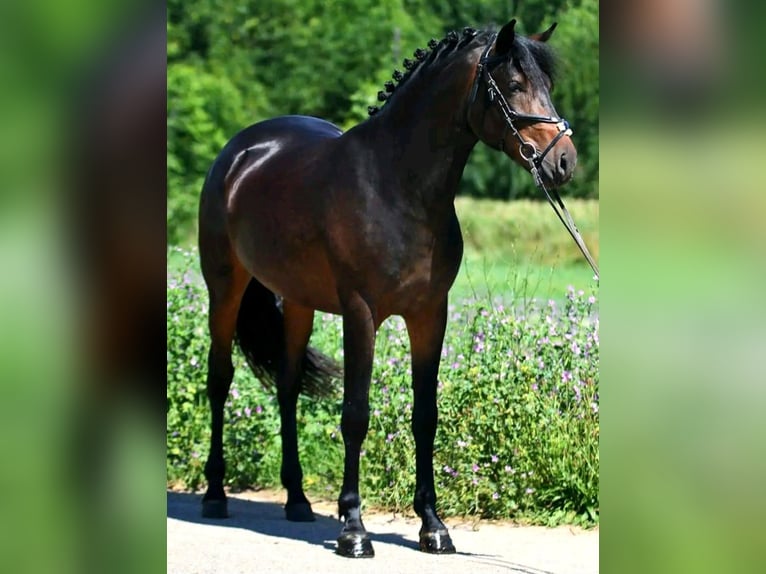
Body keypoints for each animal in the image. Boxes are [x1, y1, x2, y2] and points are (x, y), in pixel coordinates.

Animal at [197, 19, 576, 558]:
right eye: (515, 84)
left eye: (548, 85)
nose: (564, 161)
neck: (397, 188)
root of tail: (240, 152)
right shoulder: (361, 313)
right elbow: (355, 414)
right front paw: (353, 529)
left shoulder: (429, 314)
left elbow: (425, 416)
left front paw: (433, 527)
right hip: (225, 286)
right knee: (220, 379)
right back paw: (214, 494)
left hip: (298, 302)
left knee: (288, 387)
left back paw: (297, 500)